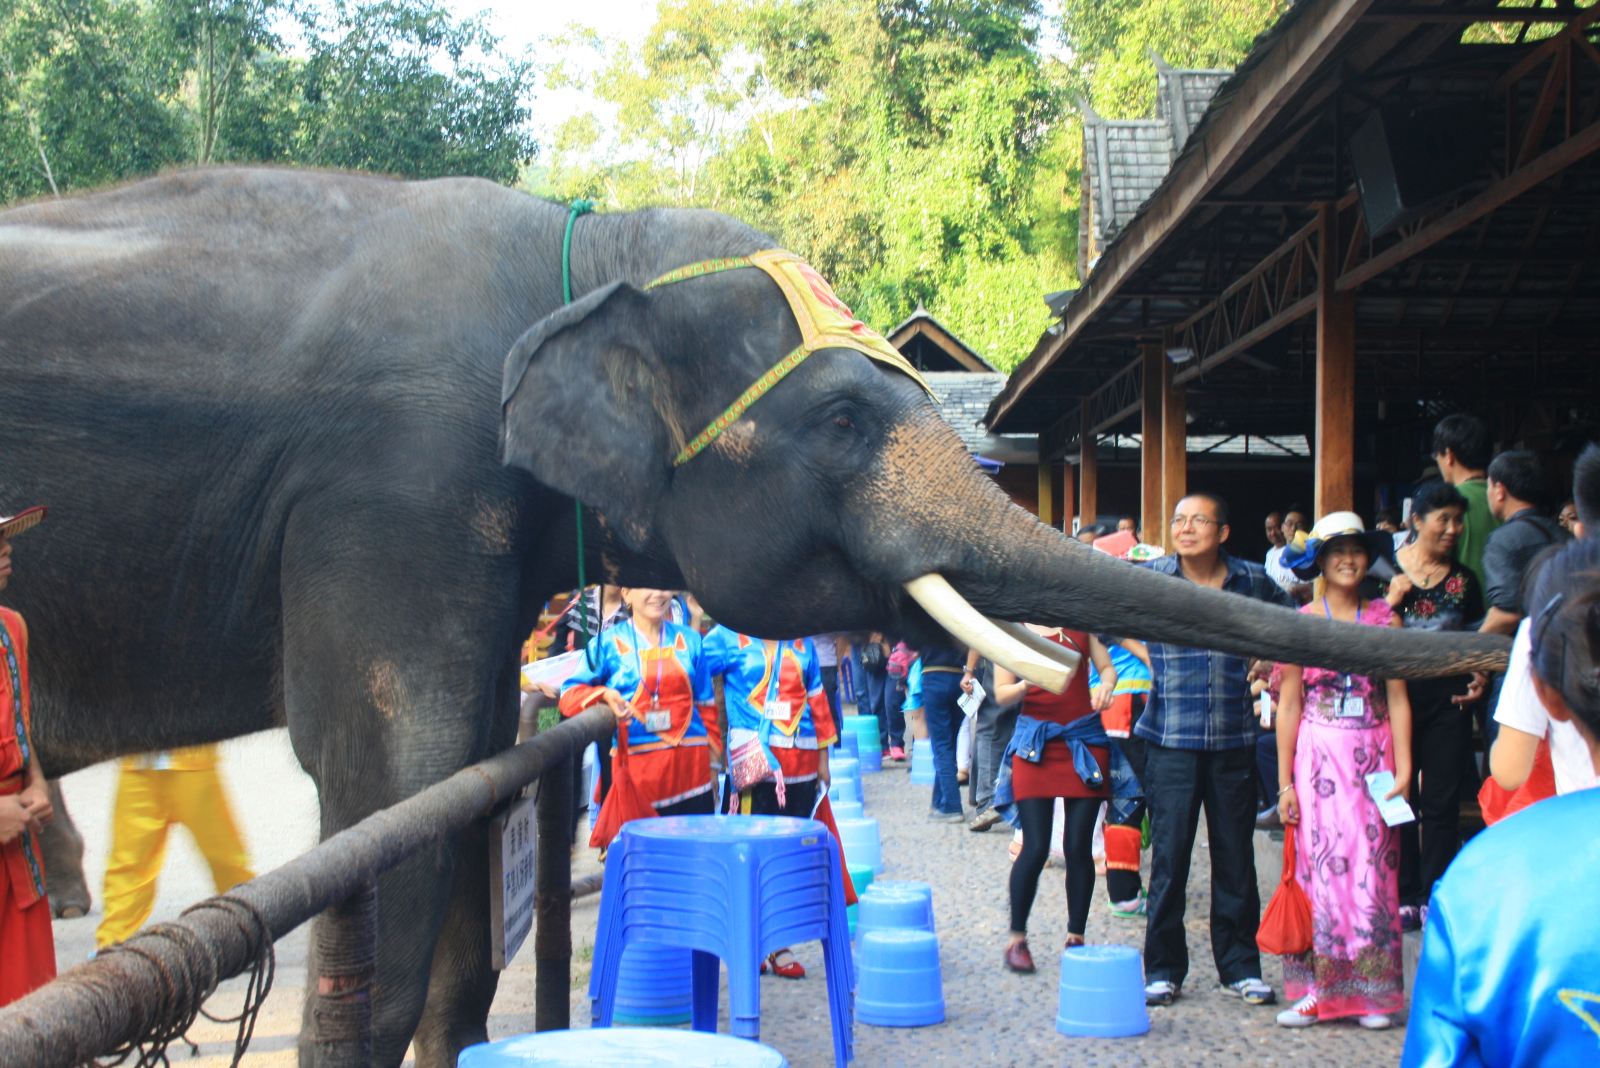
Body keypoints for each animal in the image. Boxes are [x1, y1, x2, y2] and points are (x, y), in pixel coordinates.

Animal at [0, 167, 1504, 1061]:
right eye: (838, 419)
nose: (1490, 633)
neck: (577, 241)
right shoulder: (396, 485)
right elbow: (392, 792)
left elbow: (470, 802)